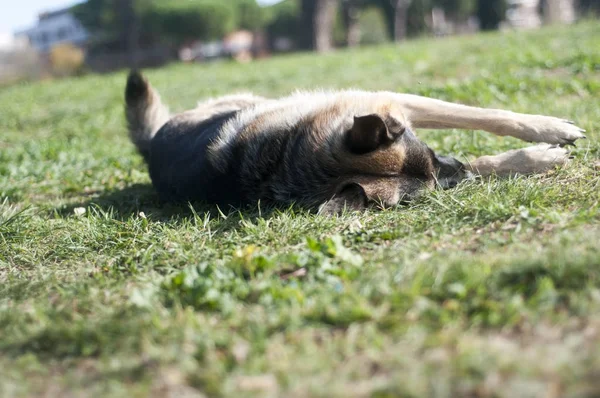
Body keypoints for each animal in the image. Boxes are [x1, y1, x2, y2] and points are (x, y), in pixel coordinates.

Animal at [123, 71, 584, 215]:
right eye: (431, 187)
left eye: (432, 153)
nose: (456, 166)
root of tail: (152, 145)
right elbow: (485, 158)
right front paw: (537, 157)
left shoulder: (394, 103)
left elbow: (484, 115)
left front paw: (547, 128)